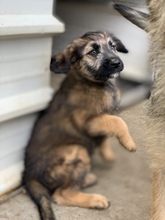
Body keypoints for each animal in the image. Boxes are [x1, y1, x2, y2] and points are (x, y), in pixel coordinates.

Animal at [23, 31, 137, 220]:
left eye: (113, 46)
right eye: (93, 52)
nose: (116, 63)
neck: (93, 82)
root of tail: (28, 174)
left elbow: (106, 134)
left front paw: (108, 154)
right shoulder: (89, 122)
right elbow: (118, 121)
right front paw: (129, 143)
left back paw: (88, 179)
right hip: (78, 151)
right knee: (62, 194)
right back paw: (96, 200)